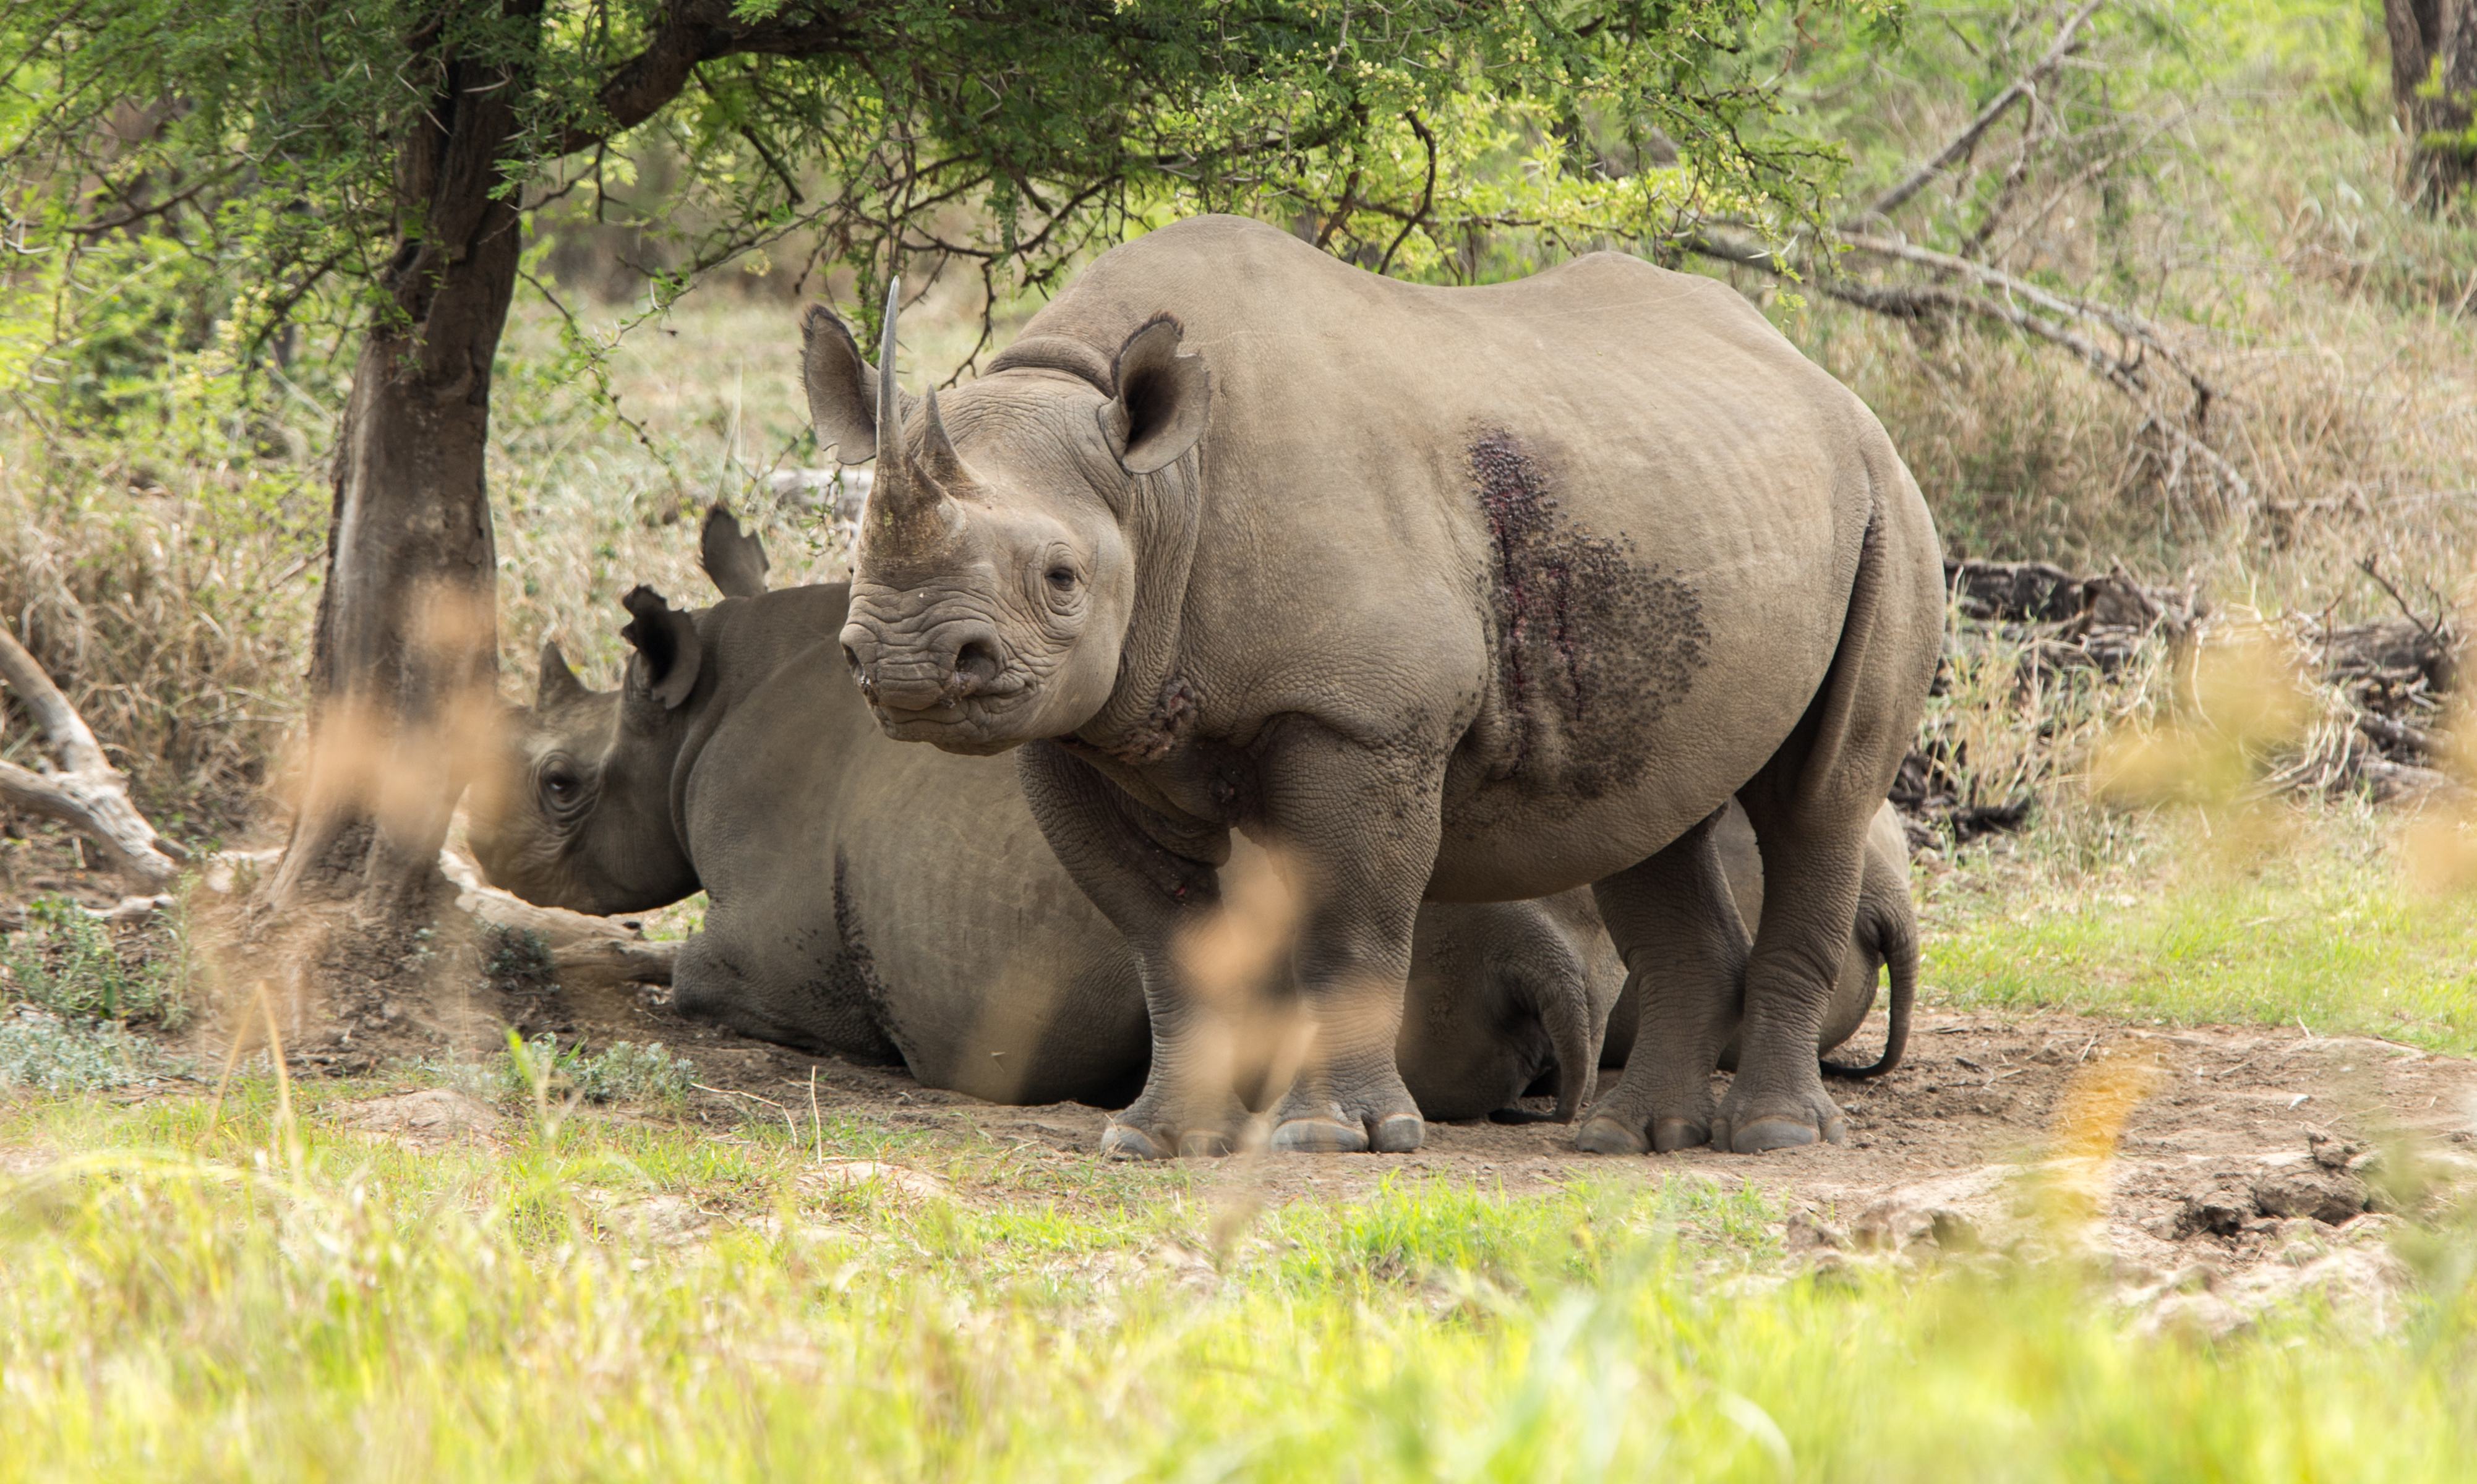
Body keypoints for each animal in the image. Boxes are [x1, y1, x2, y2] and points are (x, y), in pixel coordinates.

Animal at [464, 511, 1622, 1119]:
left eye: (561, 783)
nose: (481, 846)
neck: (697, 710)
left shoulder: (769, 950)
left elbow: (693, 972)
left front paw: (621, 962)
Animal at [816, 214, 1943, 1158]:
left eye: (1059, 578)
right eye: (859, 551)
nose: (908, 669)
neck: (1156, 490)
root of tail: (1821, 380)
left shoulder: (1362, 719)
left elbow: (1347, 929)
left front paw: (1339, 1138)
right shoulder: (1085, 729)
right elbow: (1166, 942)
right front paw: (1155, 1139)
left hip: (1884, 501)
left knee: (1818, 801)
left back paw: (1774, 1137)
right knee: (1650, 818)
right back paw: (1633, 1139)